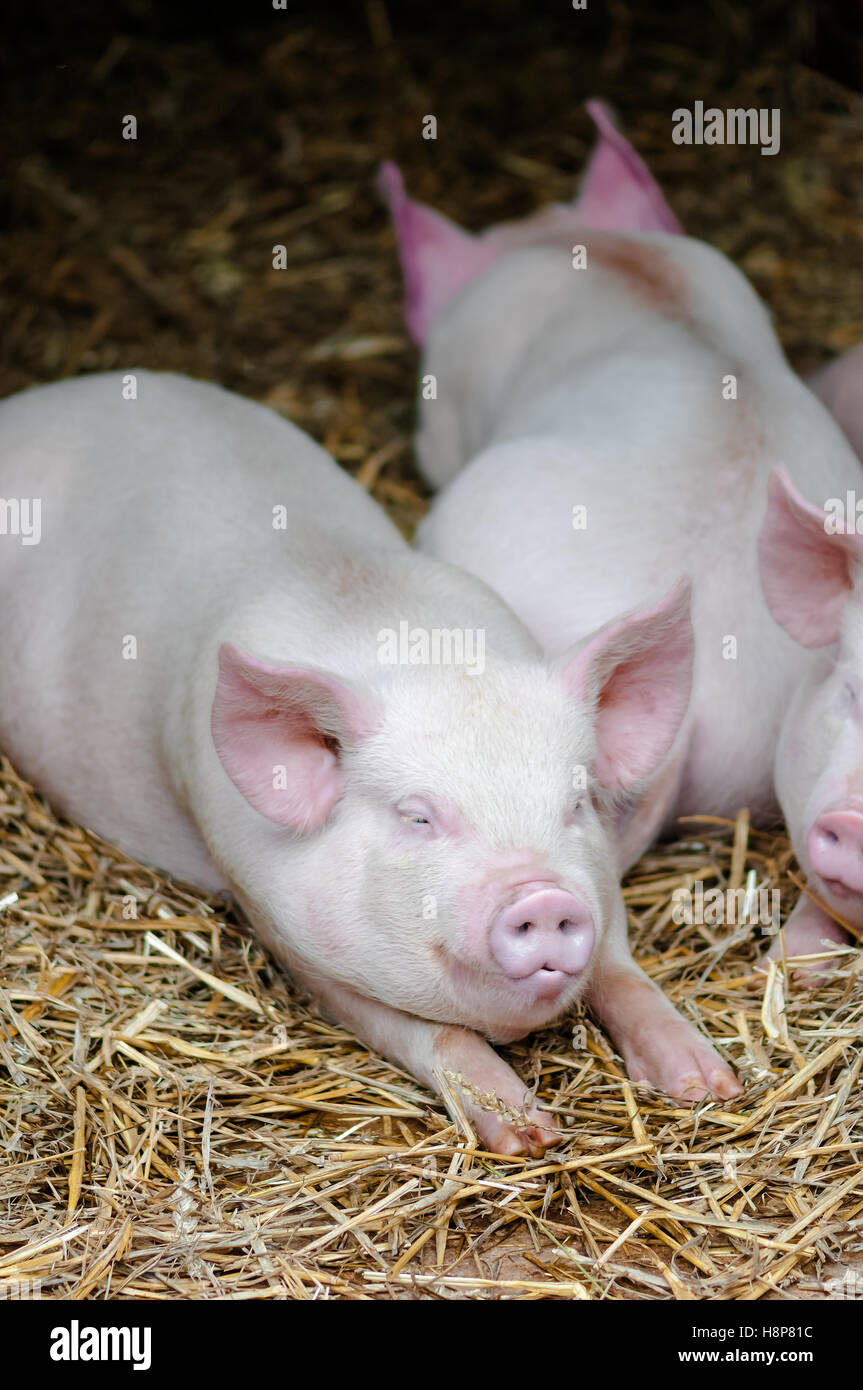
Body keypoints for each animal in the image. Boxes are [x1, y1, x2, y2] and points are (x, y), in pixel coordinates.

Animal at [0, 366, 733, 1150]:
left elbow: (620, 969)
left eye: (573, 805)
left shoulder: (602, 888)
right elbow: (428, 1033)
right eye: (418, 817)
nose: (541, 897)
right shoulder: (280, 921)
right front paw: (527, 1135)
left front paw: (707, 1084)